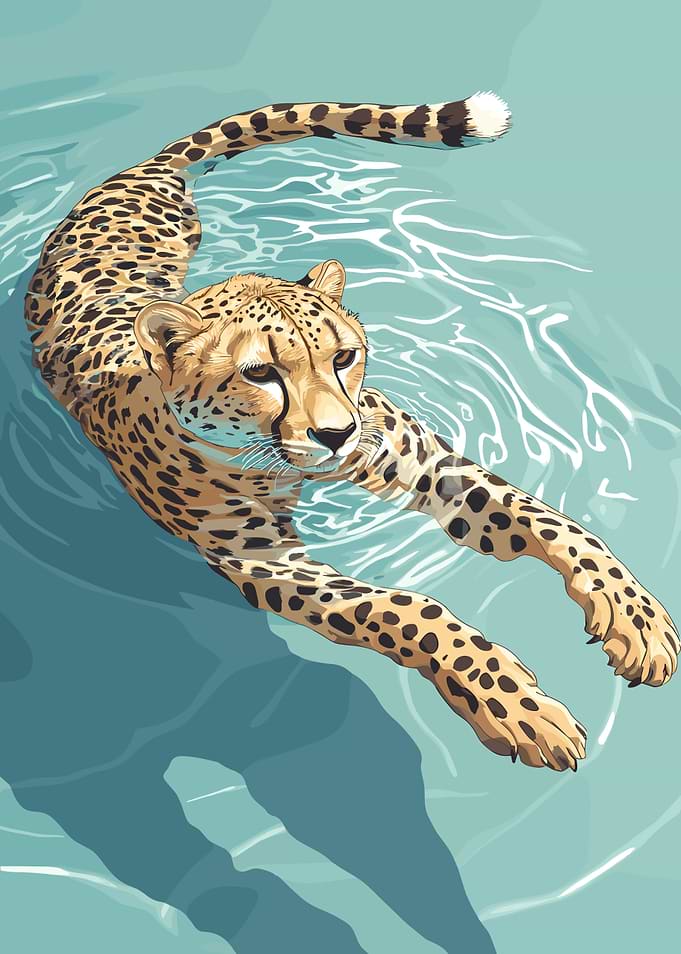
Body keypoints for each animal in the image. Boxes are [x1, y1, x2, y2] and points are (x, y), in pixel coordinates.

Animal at [25, 92, 679, 772]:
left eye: (343, 357)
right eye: (259, 373)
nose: (338, 435)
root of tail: (141, 169)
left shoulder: (428, 467)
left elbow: (549, 521)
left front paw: (635, 618)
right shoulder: (267, 563)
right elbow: (408, 610)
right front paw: (516, 707)